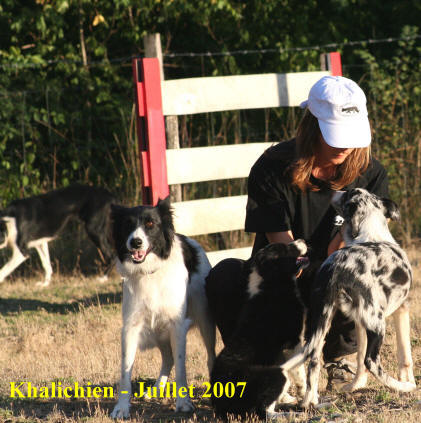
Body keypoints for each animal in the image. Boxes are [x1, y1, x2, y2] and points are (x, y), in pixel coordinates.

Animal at [206, 240, 308, 420]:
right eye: (286, 248)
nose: (302, 240)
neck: (272, 283)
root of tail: (221, 408)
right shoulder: (293, 342)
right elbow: (300, 371)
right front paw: (304, 393)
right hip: (277, 374)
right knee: (263, 411)